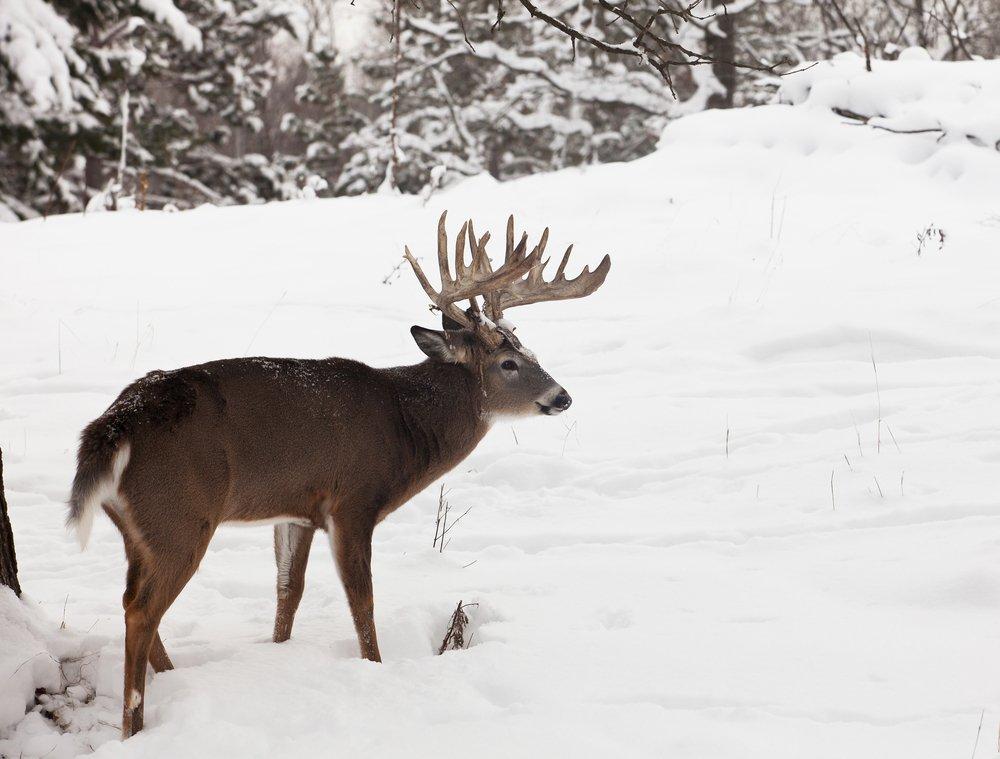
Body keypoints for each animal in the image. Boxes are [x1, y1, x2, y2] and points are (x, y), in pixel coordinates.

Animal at [66, 212, 608, 736]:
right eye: (509, 362)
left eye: (532, 351)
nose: (562, 396)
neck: (405, 425)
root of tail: (112, 426)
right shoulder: (353, 501)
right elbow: (362, 600)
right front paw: (376, 668)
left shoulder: (296, 507)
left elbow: (289, 592)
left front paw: (278, 653)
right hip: (179, 514)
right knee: (141, 610)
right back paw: (134, 726)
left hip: (137, 526)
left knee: (131, 600)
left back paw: (174, 681)